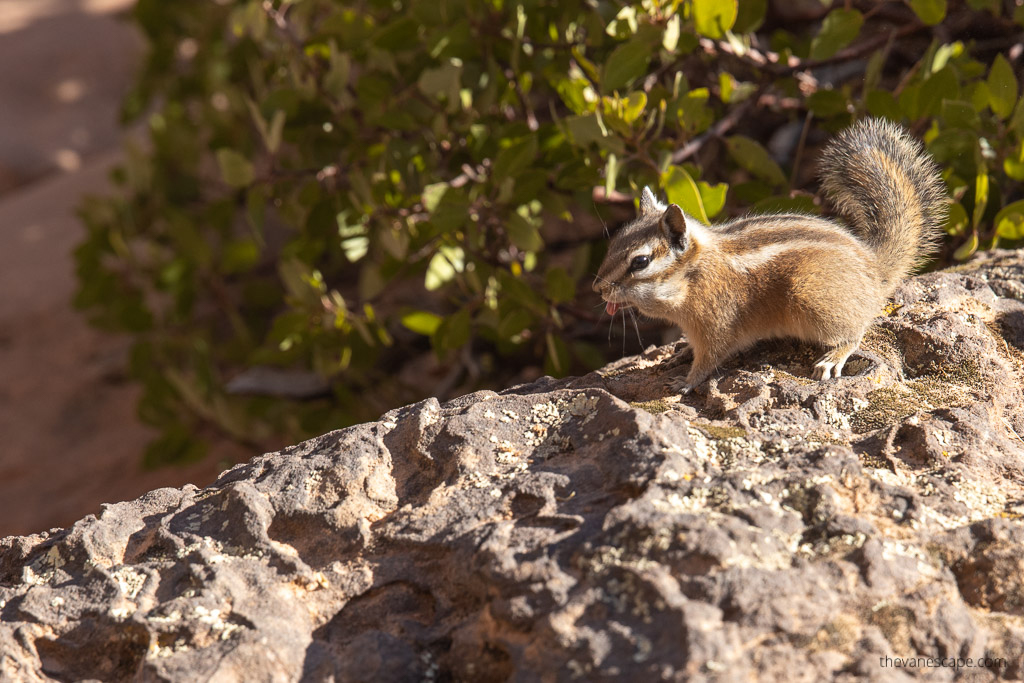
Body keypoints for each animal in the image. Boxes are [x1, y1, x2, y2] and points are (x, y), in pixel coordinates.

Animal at [593, 117, 948, 393]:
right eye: (614, 244)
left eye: (640, 262)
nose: (598, 288)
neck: (693, 276)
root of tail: (874, 268)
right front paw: (679, 354)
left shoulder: (718, 323)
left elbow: (709, 359)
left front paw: (686, 381)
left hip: (811, 296)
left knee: (858, 330)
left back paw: (834, 357)